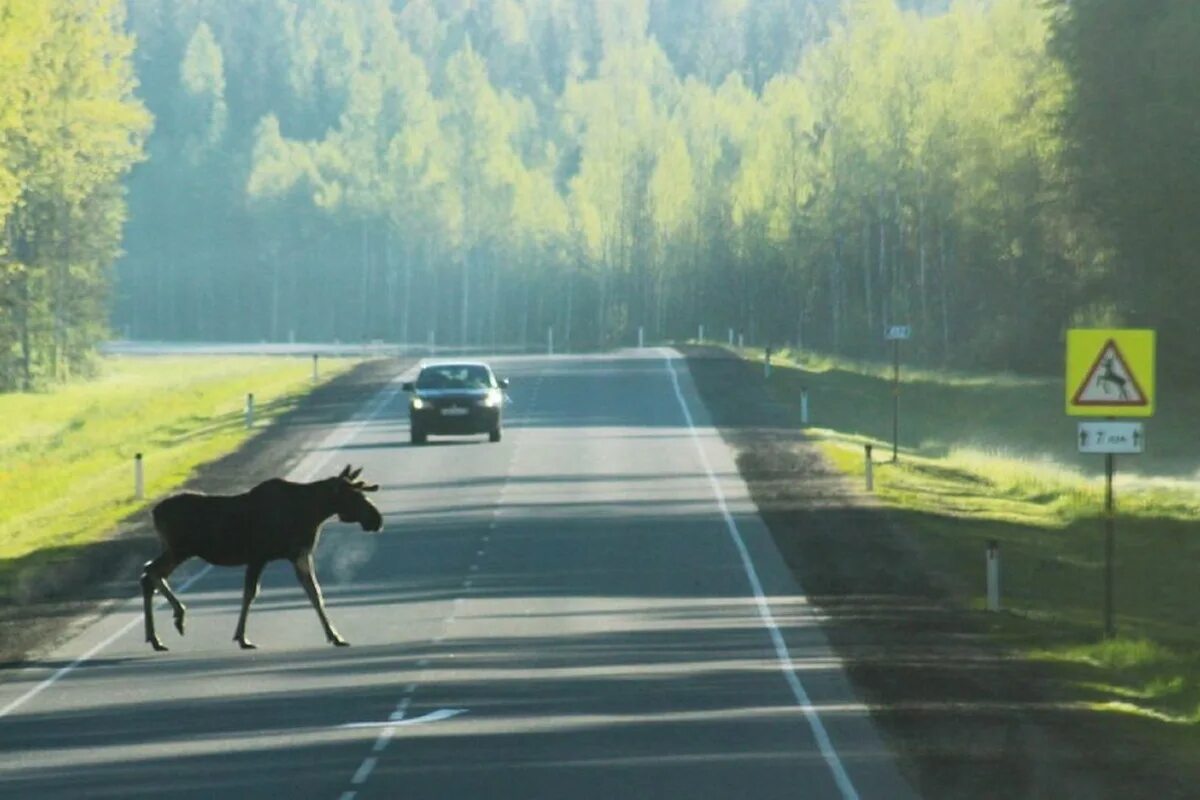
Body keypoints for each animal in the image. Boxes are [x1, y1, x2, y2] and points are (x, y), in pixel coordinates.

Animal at [140, 465, 384, 652]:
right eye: (353, 496)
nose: (377, 519)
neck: (312, 512)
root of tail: (154, 512)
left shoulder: (299, 555)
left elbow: (315, 593)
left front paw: (335, 636)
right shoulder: (259, 556)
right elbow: (250, 593)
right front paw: (242, 637)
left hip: (176, 551)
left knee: (148, 575)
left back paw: (156, 637)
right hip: (180, 550)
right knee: (150, 571)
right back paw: (176, 617)